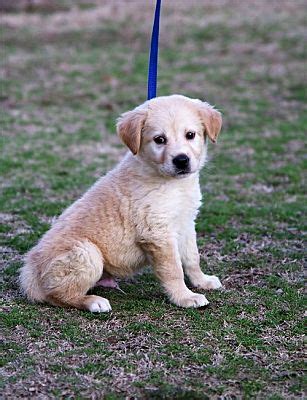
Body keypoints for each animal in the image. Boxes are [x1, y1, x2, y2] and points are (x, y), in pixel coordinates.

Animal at [19, 94, 223, 312]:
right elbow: (173, 269)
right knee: (57, 294)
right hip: (86, 252)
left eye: (190, 135)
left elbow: (193, 257)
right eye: (159, 140)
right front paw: (184, 297)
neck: (172, 183)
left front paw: (202, 281)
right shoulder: (157, 232)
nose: (181, 160)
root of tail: (30, 272)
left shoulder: (185, 223)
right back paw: (93, 301)